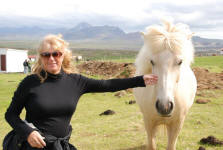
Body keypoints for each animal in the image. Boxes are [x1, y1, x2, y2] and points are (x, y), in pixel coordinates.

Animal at [133, 20, 196, 150]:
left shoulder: (177, 124)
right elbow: (152, 145)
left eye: (180, 62)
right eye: (152, 61)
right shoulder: (148, 122)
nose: (164, 106)